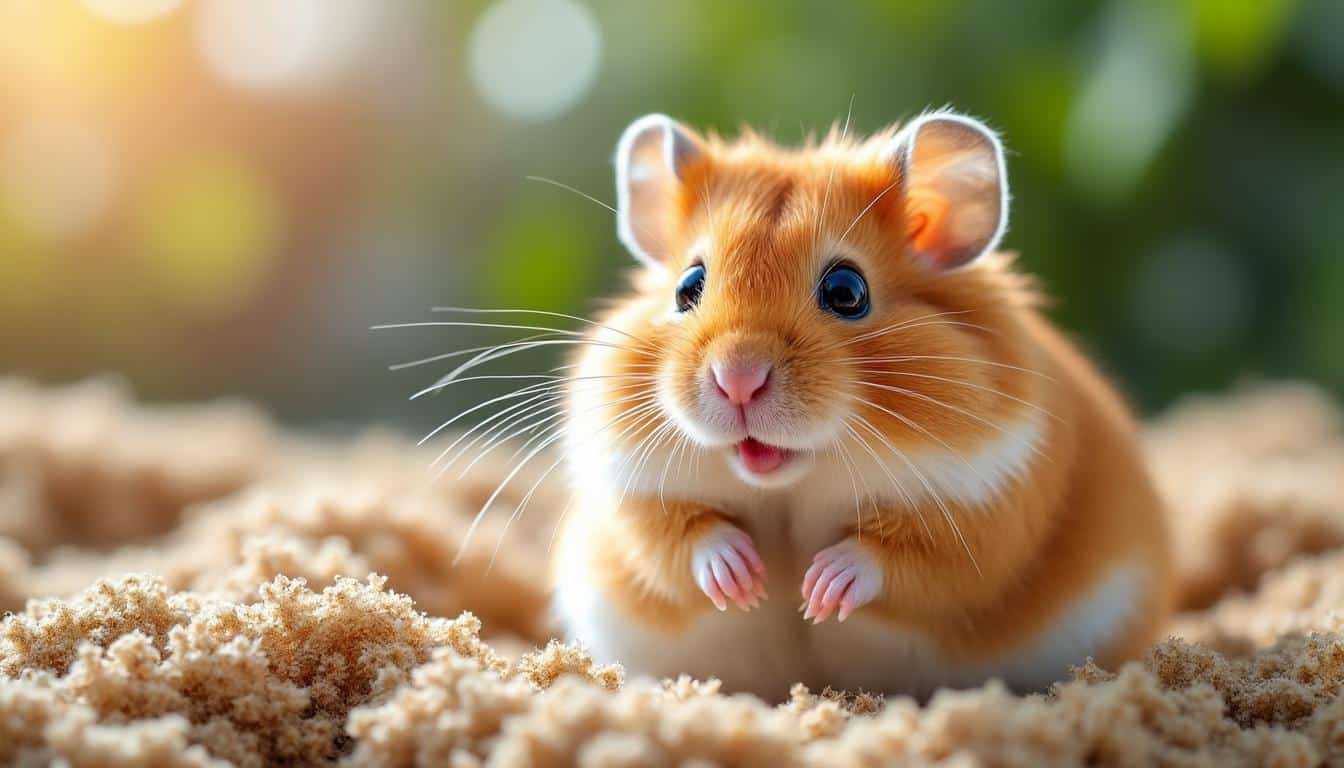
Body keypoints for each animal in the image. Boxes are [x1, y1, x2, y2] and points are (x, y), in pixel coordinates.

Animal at [551, 109, 1173, 699]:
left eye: (847, 291)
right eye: (688, 288)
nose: (738, 379)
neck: (795, 478)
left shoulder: (991, 506)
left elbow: (901, 558)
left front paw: (818, 592)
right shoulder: (629, 493)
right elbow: (681, 538)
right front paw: (746, 583)